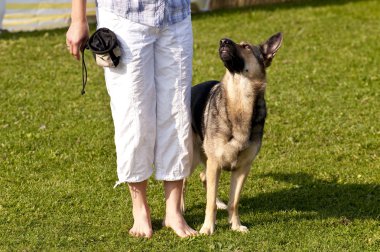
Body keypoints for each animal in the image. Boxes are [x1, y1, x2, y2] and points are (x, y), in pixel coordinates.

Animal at [189, 32, 282, 235]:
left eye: (246, 46)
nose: (223, 40)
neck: (240, 98)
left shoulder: (242, 168)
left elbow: (234, 201)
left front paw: (236, 225)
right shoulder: (215, 163)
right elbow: (209, 204)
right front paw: (207, 228)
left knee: (203, 178)